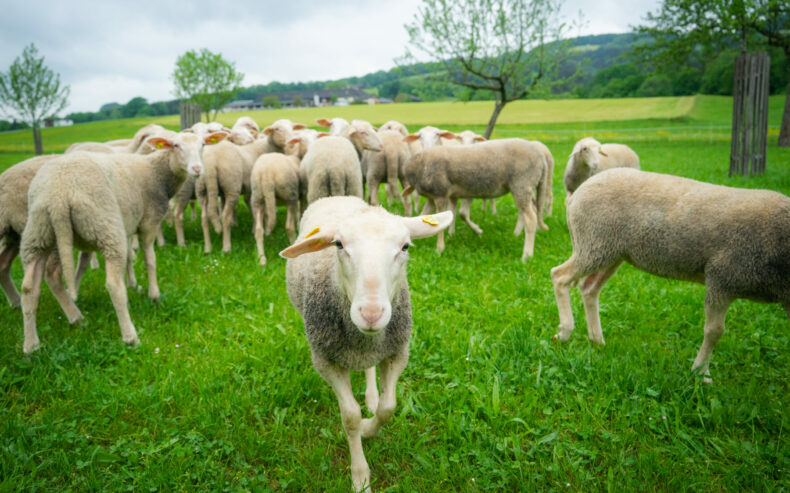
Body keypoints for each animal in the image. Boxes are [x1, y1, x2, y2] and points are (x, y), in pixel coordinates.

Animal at [20, 130, 224, 354]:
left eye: (203, 144)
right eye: (177, 146)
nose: (197, 169)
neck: (156, 173)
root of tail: (58, 195)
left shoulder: (127, 225)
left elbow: (129, 257)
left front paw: (134, 285)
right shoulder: (149, 222)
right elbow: (149, 259)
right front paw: (154, 295)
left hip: (39, 234)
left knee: (31, 286)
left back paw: (35, 343)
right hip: (106, 226)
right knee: (113, 285)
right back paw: (130, 337)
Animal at [282, 194, 454, 490]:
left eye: (405, 247)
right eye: (339, 244)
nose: (371, 314)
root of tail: (338, 196)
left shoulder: (398, 352)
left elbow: (388, 408)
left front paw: (368, 427)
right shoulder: (326, 361)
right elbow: (349, 417)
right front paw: (360, 477)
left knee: (371, 371)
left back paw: (371, 397)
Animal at [402, 137, 552, 262]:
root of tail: (540, 154)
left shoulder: (440, 194)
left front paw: (439, 249)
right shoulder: (431, 198)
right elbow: (422, 217)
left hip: (522, 183)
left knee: (531, 218)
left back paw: (527, 255)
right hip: (526, 187)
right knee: (531, 210)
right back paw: (517, 234)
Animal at [552, 166, 790, 380]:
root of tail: (578, 193)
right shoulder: (721, 278)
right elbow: (714, 331)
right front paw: (700, 372)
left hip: (611, 251)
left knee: (589, 289)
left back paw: (597, 340)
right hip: (594, 243)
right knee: (559, 276)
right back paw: (565, 332)